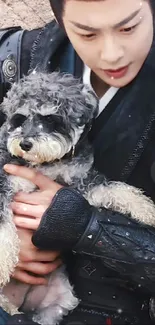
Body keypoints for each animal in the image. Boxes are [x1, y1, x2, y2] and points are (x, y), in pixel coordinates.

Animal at [0, 71, 155, 324]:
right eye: (19, 118)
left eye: (51, 118)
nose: (24, 144)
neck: (47, 164)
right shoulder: (5, 183)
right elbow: (3, 227)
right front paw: (3, 264)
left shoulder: (81, 183)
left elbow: (113, 189)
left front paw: (145, 208)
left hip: (60, 301)